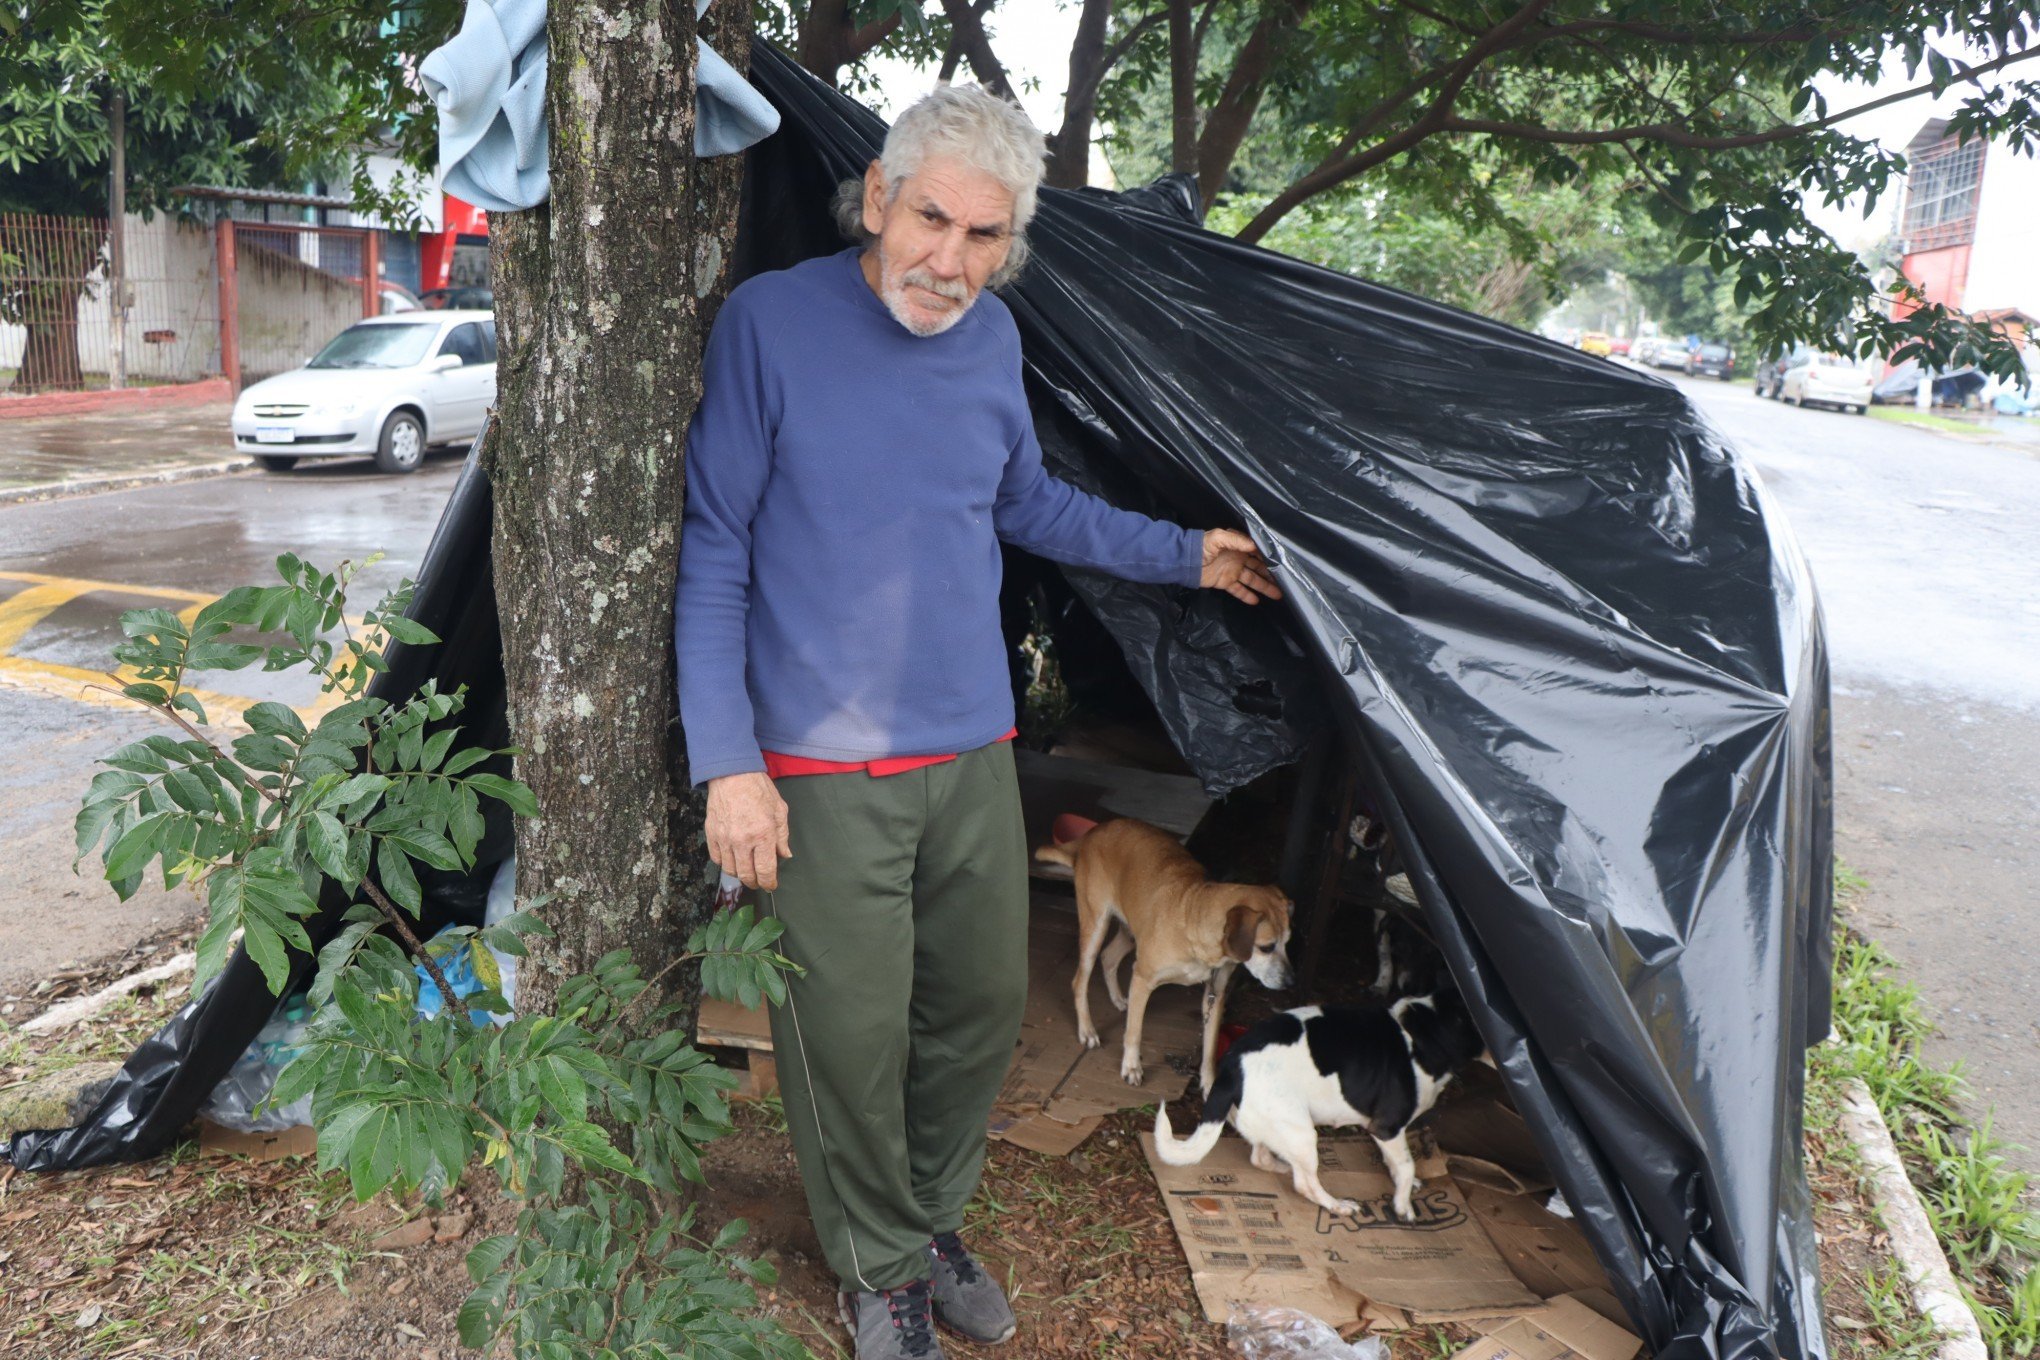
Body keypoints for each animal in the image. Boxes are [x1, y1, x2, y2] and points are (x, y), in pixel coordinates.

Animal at [1036, 819, 1289, 1092]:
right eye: (1266, 947)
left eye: (1287, 942)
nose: (1291, 982)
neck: (1194, 915)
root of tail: (1093, 833)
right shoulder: (1142, 978)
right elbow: (1134, 1032)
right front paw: (1131, 1067)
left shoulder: (1216, 994)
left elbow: (1210, 1049)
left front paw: (1209, 1084)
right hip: (1095, 926)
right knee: (1079, 980)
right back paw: (1087, 1031)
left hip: (1130, 931)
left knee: (1109, 957)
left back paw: (1118, 999)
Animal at [1158, 990, 1493, 1223]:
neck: (1425, 1031)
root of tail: (1230, 1068)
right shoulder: (1386, 1128)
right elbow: (1407, 1165)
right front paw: (1403, 1206)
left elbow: (1398, 1165)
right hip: (1302, 1133)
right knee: (1305, 1184)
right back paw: (1337, 1204)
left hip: (1276, 1127)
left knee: (1262, 1158)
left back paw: (1283, 1164)